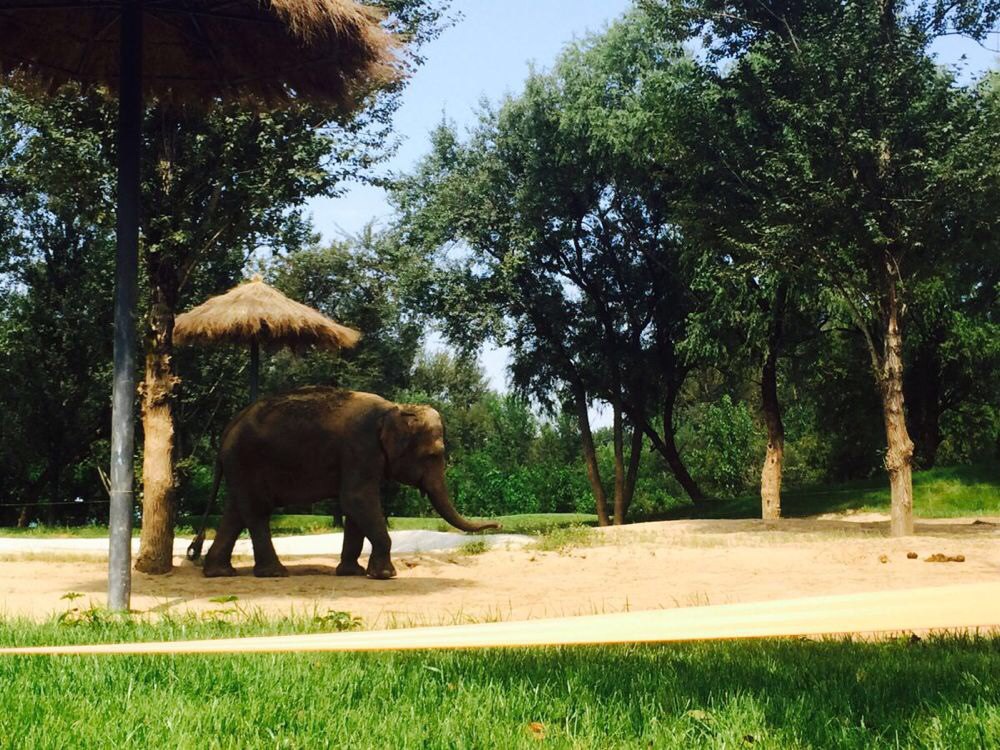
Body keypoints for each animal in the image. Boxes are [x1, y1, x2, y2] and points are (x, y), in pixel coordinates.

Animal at [188, 388, 500, 580]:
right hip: (247, 462)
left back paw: (219, 573)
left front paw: (353, 572)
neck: (394, 409)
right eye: (433, 455)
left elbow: (354, 509)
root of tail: (228, 428)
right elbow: (357, 499)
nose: (497, 524)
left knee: (235, 512)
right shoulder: (360, 448)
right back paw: (274, 573)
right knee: (255, 511)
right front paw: (385, 575)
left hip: (240, 468)